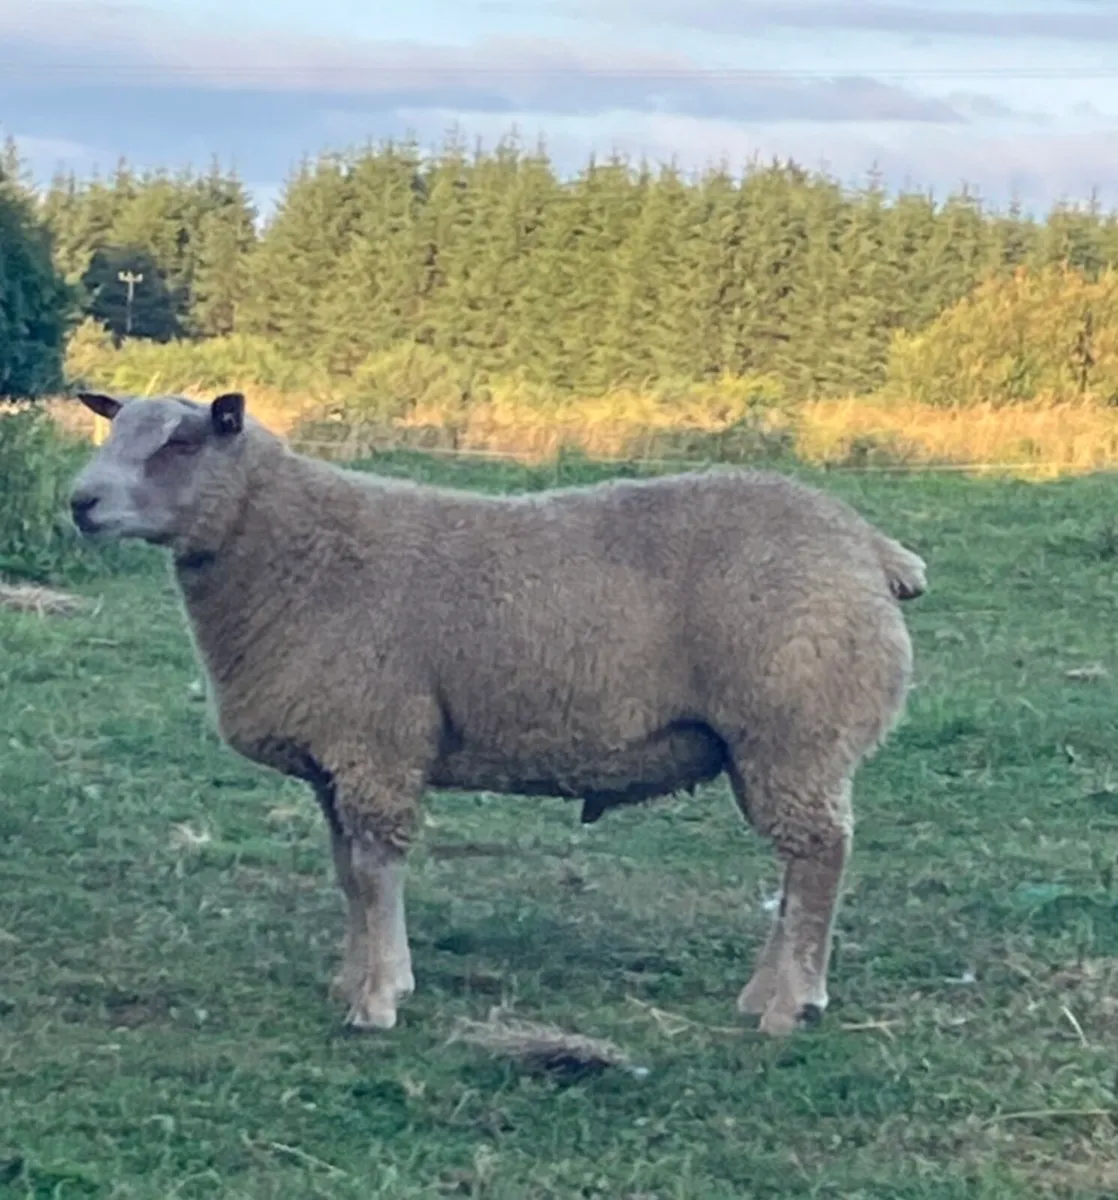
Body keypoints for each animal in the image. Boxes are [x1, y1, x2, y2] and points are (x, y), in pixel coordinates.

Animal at [69, 389, 926, 1037]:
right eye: (113, 428)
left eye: (181, 442)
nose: (80, 502)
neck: (284, 545)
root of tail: (872, 549)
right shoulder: (334, 759)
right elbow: (348, 875)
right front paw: (353, 978)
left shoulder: (376, 743)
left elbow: (376, 872)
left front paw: (379, 999)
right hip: (769, 746)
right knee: (801, 858)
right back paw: (764, 993)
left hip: (796, 730)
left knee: (820, 856)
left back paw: (790, 1006)